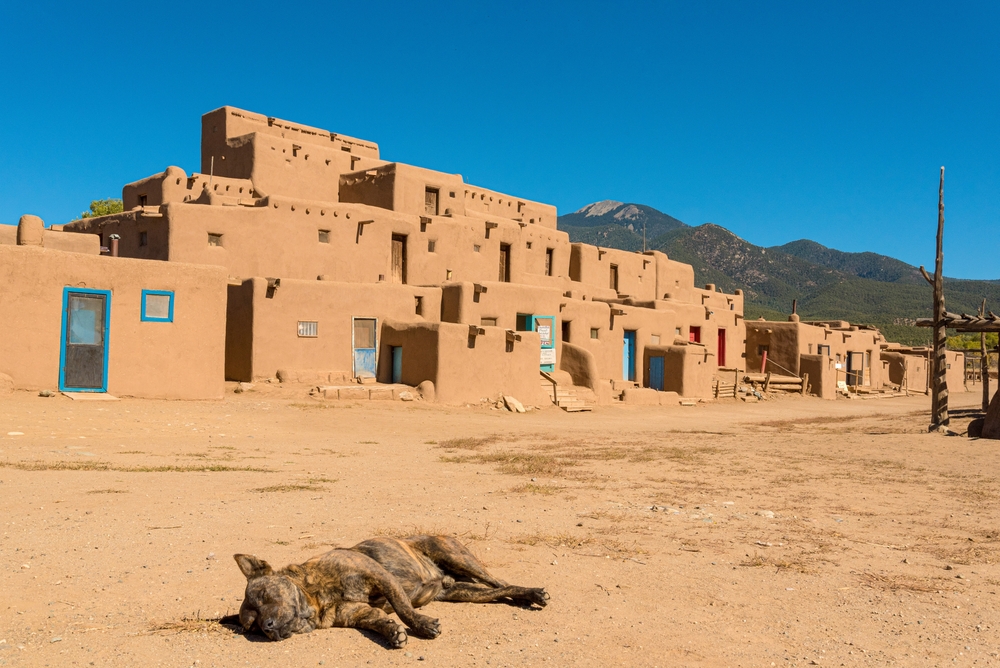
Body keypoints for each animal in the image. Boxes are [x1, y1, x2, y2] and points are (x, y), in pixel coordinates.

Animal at [232, 532, 548, 648]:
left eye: (264, 596)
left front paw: (421, 625)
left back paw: (531, 594)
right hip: (463, 592)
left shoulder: (380, 575)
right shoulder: (358, 614)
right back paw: (526, 596)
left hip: (457, 556)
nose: (267, 627)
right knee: (497, 590)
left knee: (500, 582)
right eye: (252, 626)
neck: (317, 599)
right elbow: (379, 619)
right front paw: (392, 631)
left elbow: (402, 608)